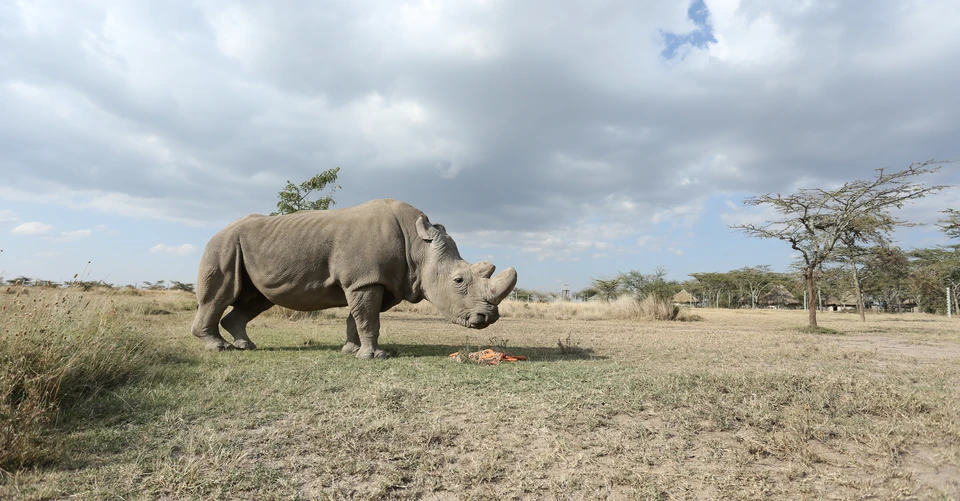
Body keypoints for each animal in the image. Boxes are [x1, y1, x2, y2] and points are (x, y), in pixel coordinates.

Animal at [191, 199, 518, 359]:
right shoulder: (365, 279)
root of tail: (218, 231)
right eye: (459, 280)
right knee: (221, 295)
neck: (418, 247)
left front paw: (351, 351)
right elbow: (368, 318)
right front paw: (373, 356)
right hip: (223, 245)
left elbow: (357, 317)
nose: (487, 318)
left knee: (258, 299)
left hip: (243, 247)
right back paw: (219, 349)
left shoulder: (375, 280)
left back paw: (246, 346)